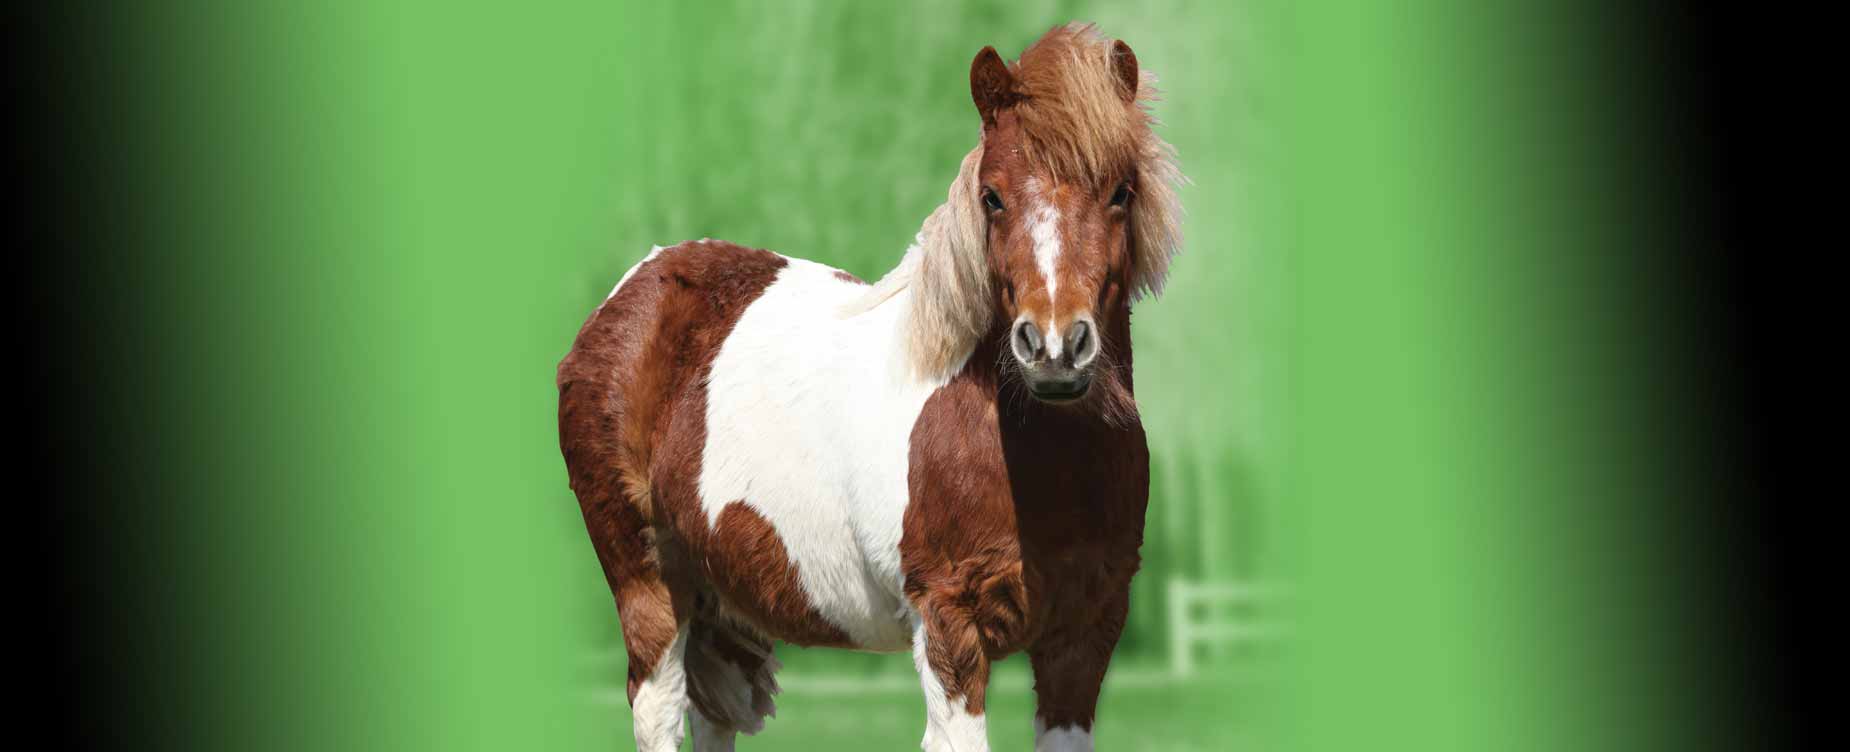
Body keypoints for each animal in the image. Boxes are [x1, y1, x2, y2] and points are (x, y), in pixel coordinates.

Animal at [557, 23, 1183, 752]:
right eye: (992, 196)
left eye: (1121, 192)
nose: (1053, 348)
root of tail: (635, 284)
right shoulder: (950, 627)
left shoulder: (1084, 638)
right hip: (647, 582)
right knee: (657, 704)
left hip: (725, 604)